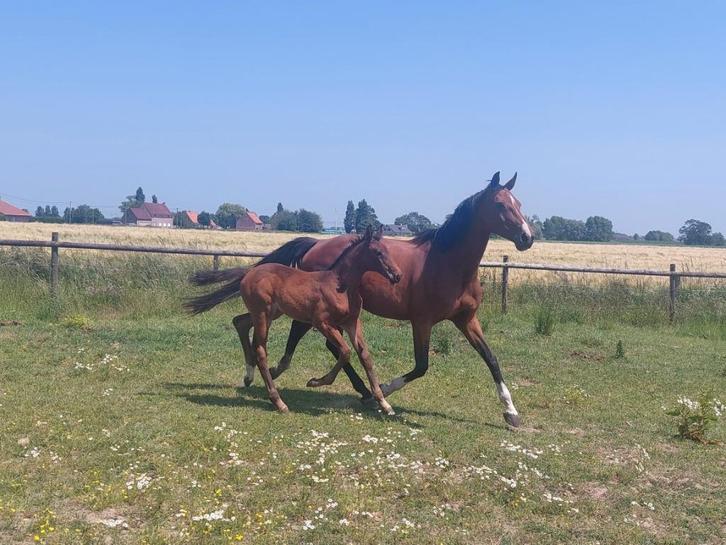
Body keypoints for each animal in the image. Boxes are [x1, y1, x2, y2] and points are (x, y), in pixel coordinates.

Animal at [186, 225, 402, 414]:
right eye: (378, 253)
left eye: (388, 251)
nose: (397, 275)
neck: (340, 285)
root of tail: (249, 273)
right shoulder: (322, 323)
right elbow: (346, 352)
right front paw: (315, 382)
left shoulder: (352, 323)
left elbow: (365, 357)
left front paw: (384, 403)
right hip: (263, 314)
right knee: (260, 349)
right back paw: (278, 401)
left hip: (270, 313)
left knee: (240, 322)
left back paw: (249, 376)